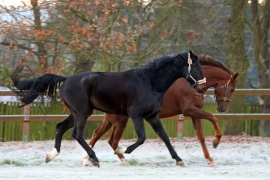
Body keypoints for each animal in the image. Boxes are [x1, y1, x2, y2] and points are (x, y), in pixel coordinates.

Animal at [10, 49, 205, 167]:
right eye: (196, 67)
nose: (202, 87)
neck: (149, 82)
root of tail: (66, 79)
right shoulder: (136, 115)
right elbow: (141, 138)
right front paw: (122, 150)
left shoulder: (152, 116)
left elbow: (164, 137)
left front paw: (179, 160)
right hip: (82, 113)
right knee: (77, 134)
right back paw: (94, 158)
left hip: (76, 113)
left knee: (60, 128)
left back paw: (52, 155)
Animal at [82, 54, 238, 166]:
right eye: (232, 89)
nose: (222, 108)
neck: (189, 84)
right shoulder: (189, 110)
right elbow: (213, 117)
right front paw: (216, 141)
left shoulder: (194, 114)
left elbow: (201, 137)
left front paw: (209, 158)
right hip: (120, 121)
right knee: (112, 141)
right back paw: (119, 158)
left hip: (111, 120)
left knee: (97, 135)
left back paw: (88, 159)